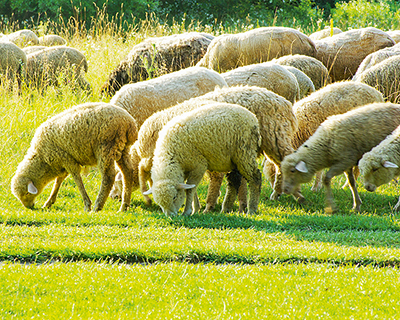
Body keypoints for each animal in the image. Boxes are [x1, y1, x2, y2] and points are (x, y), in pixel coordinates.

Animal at [10, 102, 138, 212]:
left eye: (26, 193)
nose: (29, 207)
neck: (42, 159)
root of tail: (129, 122)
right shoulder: (63, 162)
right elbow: (59, 180)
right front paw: (48, 203)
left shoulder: (67, 159)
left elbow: (77, 179)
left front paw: (87, 205)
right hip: (122, 149)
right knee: (128, 172)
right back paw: (124, 206)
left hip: (105, 148)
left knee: (108, 177)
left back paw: (97, 206)